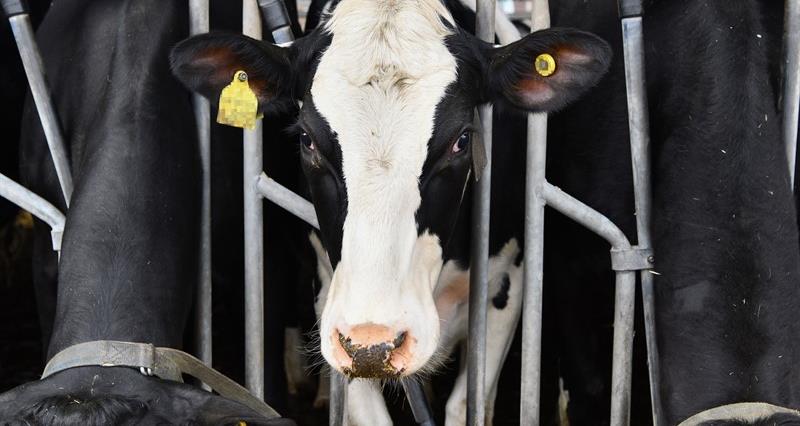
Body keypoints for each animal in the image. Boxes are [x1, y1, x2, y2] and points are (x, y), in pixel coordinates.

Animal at [170, 0, 612, 423]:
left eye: (462, 140)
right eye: (307, 140)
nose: (374, 343)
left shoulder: (508, 283)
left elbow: (463, 405)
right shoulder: (333, 301)